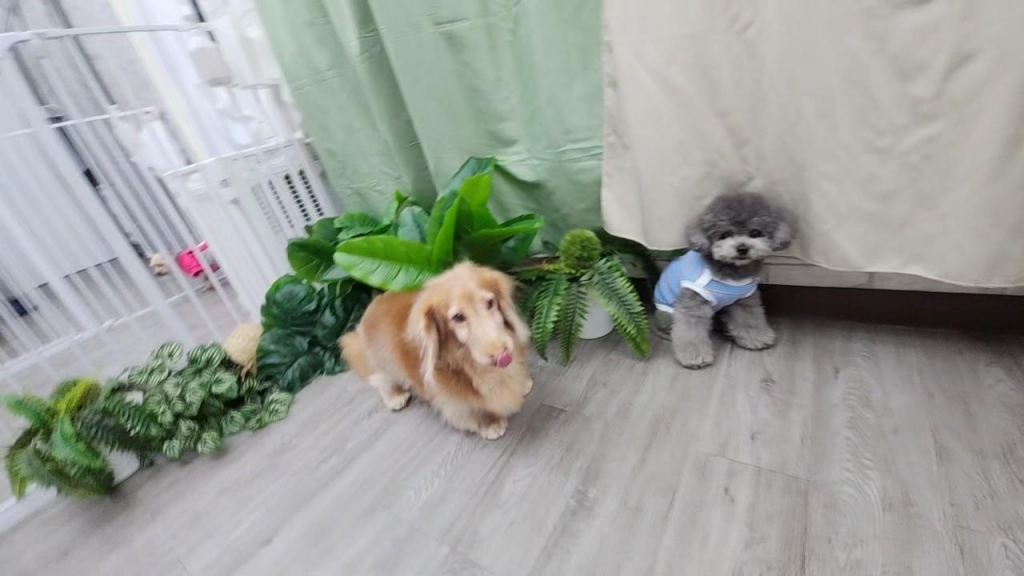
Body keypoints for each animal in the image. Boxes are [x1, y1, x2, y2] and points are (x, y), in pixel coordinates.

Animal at [340, 262, 533, 440]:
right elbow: (470, 411)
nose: (502, 355)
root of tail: (372, 305)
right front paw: (490, 423)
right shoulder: (453, 402)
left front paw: (522, 383)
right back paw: (395, 396)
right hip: (381, 361)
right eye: (458, 317)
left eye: (490, 302)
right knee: (380, 379)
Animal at [654, 191, 794, 369]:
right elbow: (691, 332)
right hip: (667, 312)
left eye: (755, 233)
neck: (732, 272)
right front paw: (696, 356)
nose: (742, 248)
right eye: (724, 235)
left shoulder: (744, 300)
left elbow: (750, 320)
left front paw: (756, 338)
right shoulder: (693, 303)